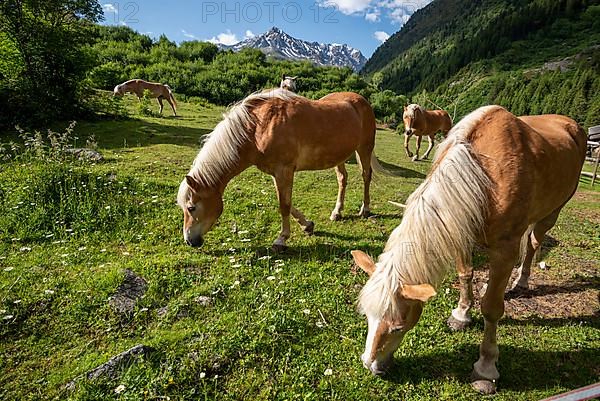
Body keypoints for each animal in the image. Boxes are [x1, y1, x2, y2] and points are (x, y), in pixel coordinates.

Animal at [176, 88, 386, 250]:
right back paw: (337, 212)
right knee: (343, 178)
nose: (190, 241)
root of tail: (361, 101)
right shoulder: (275, 172)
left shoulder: (284, 170)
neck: (258, 128)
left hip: (364, 148)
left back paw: (365, 209)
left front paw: (281, 239)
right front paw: (307, 225)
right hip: (339, 156)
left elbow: (283, 205)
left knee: (366, 176)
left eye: (191, 207)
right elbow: (286, 202)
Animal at [352, 104, 584, 394]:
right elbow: (465, 275)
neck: (486, 174)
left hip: (552, 212)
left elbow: (492, 308)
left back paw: (522, 281)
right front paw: (462, 315)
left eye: (397, 327)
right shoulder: (460, 228)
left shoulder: (504, 251)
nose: (370, 366)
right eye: (366, 317)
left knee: (533, 243)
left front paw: (485, 369)